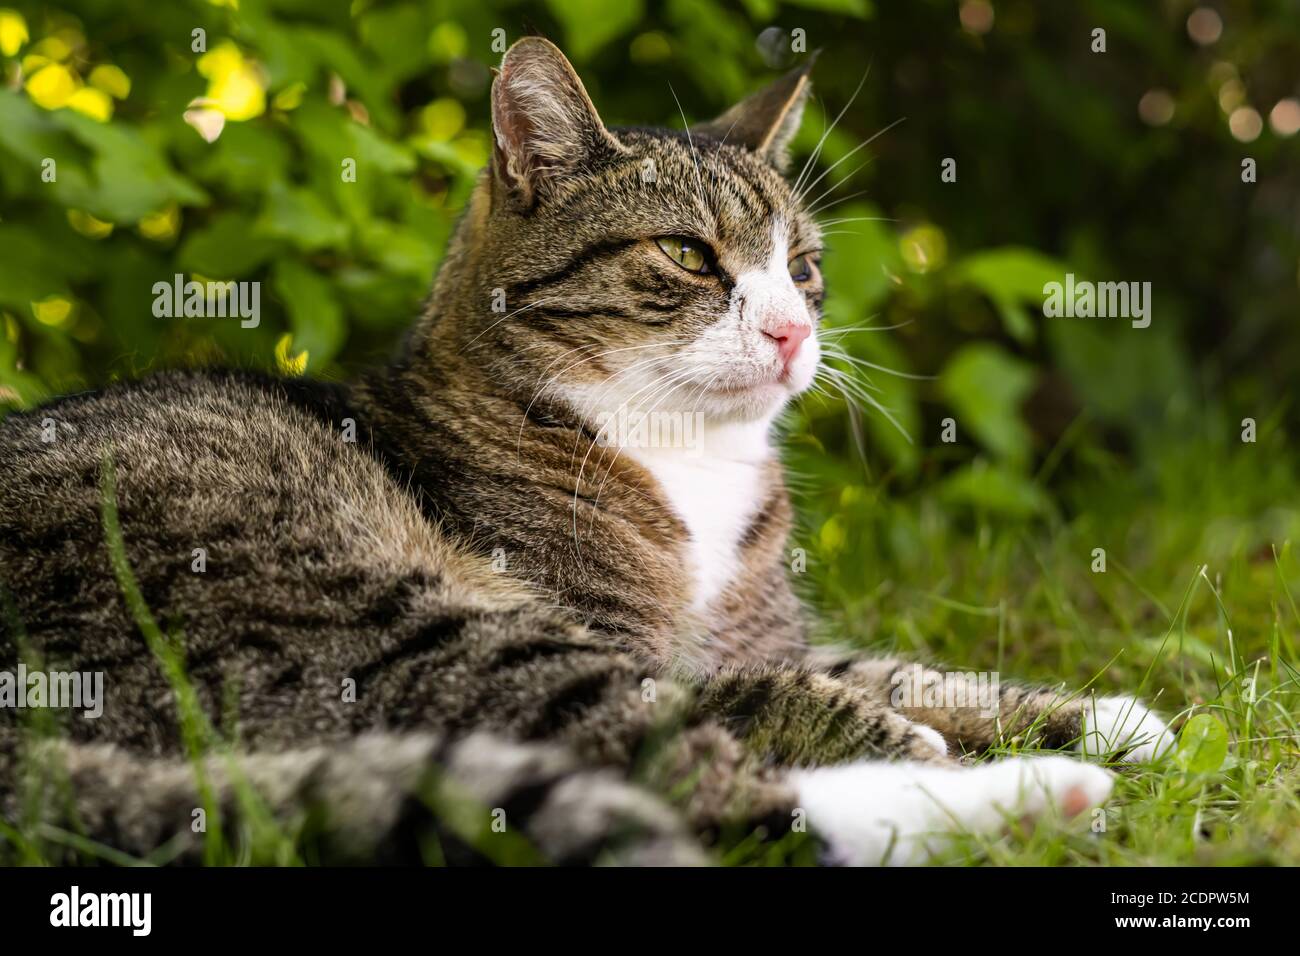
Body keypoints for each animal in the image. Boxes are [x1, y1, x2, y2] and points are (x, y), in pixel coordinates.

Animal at [0, 37, 1175, 868]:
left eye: (801, 267)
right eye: (689, 254)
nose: (792, 331)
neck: (689, 460)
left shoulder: (766, 637)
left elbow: (889, 665)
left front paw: (1105, 714)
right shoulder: (643, 647)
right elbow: (781, 699)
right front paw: (926, 739)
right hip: (372, 618)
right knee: (701, 793)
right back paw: (1022, 797)